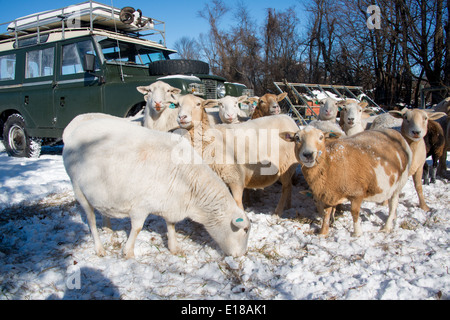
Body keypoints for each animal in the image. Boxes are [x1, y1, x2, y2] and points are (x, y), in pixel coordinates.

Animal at [60, 115, 250, 258]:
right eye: (245, 230)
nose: (242, 255)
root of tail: (75, 130)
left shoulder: (171, 202)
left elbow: (171, 225)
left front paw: (174, 247)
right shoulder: (140, 205)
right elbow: (137, 228)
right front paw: (128, 252)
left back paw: (109, 230)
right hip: (77, 187)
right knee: (91, 220)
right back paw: (99, 248)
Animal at [284, 126, 414, 236]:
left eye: (321, 137)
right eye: (297, 138)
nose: (308, 154)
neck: (329, 163)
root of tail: (395, 132)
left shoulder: (357, 193)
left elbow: (354, 212)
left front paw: (357, 233)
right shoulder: (327, 193)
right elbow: (327, 213)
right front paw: (323, 233)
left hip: (400, 182)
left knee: (393, 204)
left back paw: (386, 227)